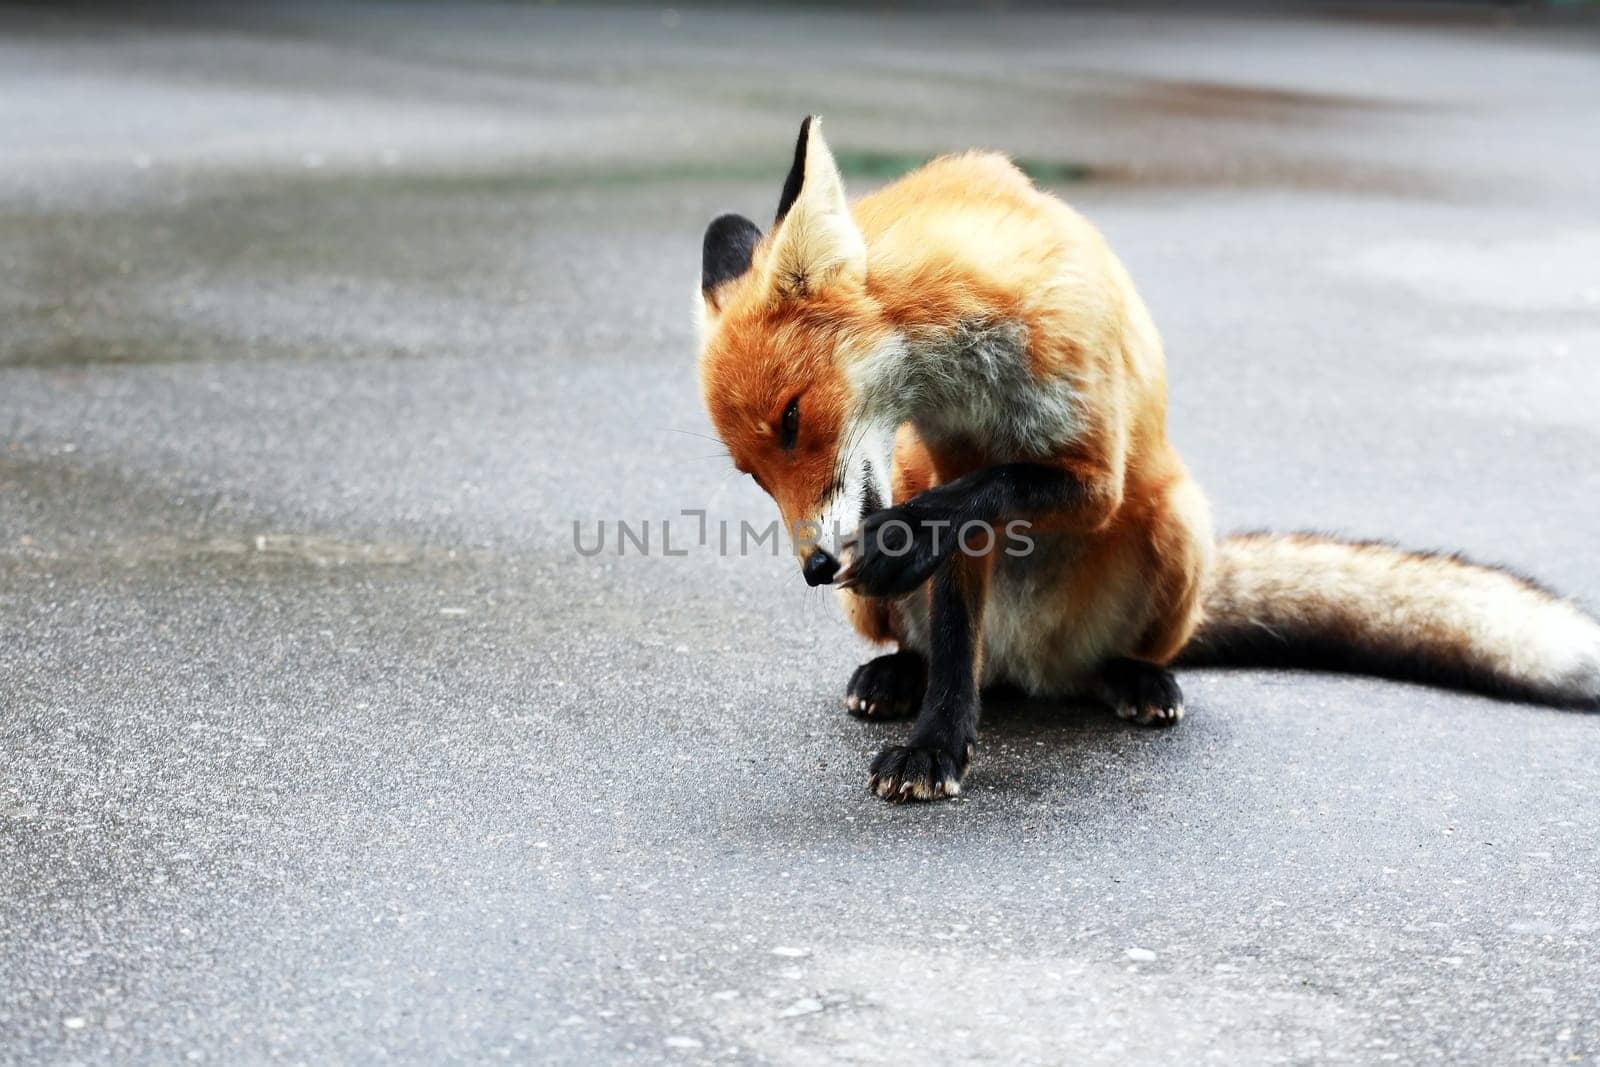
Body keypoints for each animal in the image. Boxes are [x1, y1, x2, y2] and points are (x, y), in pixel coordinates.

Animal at [697, 116, 1600, 799]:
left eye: (791, 418)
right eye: (752, 472)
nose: (817, 566)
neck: (967, 367)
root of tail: (1024, 667)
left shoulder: (1094, 467)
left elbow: (995, 489)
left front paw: (906, 544)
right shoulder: (943, 466)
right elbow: (954, 641)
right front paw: (939, 741)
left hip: (1176, 520)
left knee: (1122, 654)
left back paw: (1136, 678)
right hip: (899, 569)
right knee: (947, 652)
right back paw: (897, 675)